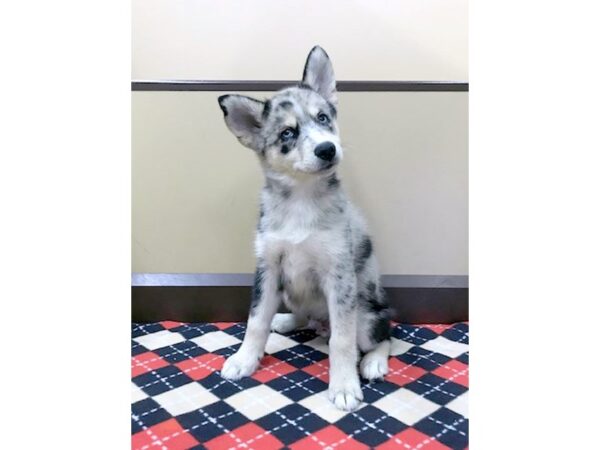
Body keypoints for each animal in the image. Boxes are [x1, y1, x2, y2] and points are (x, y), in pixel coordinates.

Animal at [218, 46, 392, 412]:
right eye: (287, 133)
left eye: (323, 118)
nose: (327, 149)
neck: (301, 198)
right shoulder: (268, 267)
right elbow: (255, 320)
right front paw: (244, 359)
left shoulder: (339, 274)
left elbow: (342, 341)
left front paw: (344, 385)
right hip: (288, 288)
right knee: (299, 315)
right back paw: (286, 320)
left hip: (368, 314)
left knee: (382, 335)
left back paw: (374, 362)